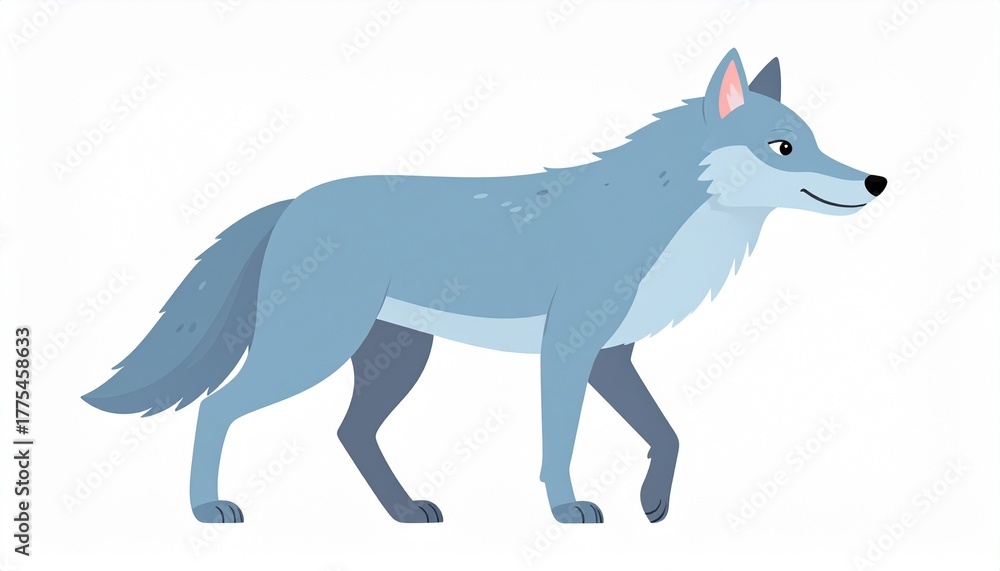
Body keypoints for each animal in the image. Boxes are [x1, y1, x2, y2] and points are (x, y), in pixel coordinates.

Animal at [83, 48, 886, 525]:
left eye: (814, 140)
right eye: (783, 146)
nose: (875, 181)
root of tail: (295, 200)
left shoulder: (612, 359)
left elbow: (669, 433)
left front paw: (654, 501)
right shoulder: (568, 350)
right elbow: (559, 443)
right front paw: (568, 510)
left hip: (396, 360)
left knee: (350, 432)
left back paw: (403, 512)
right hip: (312, 352)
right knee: (217, 409)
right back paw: (207, 507)